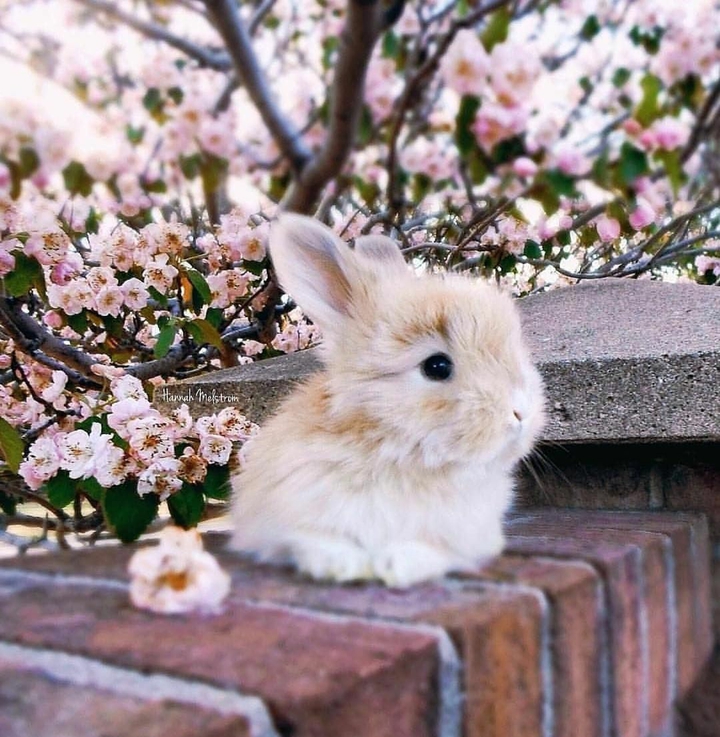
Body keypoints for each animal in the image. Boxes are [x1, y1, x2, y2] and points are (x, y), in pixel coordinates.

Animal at [230, 213, 545, 587]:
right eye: (437, 366)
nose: (521, 413)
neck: (398, 454)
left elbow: (432, 550)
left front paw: (397, 565)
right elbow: (314, 539)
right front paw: (344, 565)